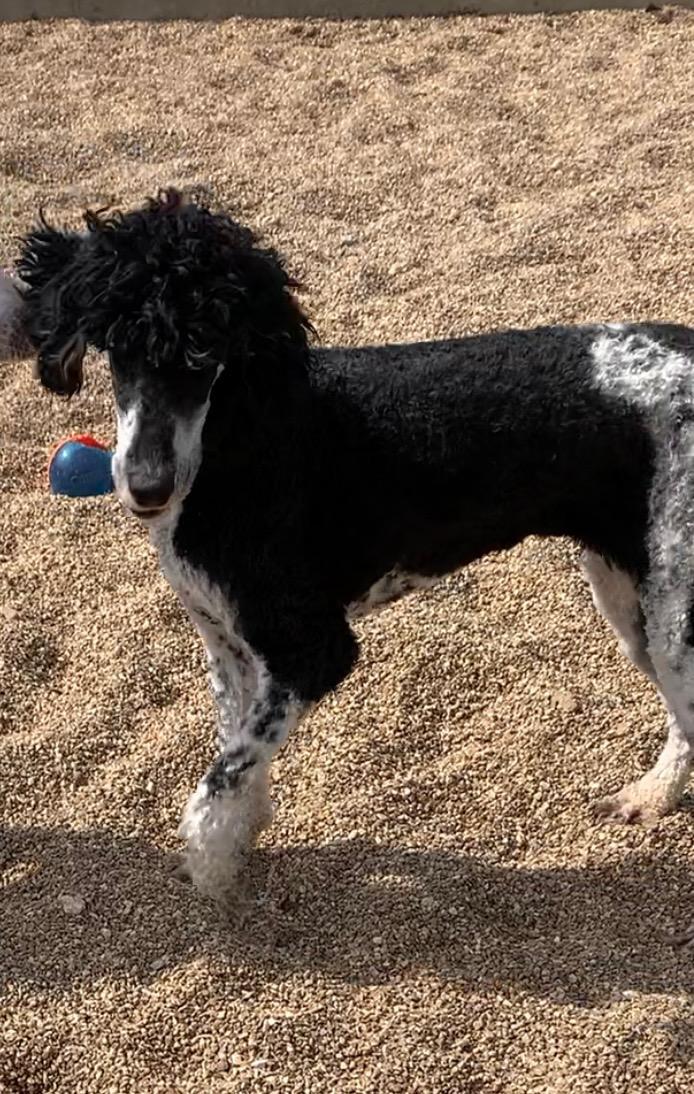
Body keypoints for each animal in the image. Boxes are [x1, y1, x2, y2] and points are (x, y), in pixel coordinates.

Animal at [5, 189, 694, 901]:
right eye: (117, 346)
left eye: (202, 351)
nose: (146, 488)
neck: (239, 438)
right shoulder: (230, 647)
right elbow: (239, 752)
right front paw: (241, 839)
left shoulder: (311, 647)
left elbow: (223, 776)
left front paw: (212, 868)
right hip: (629, 596)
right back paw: (652, 795)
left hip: (674, 607)